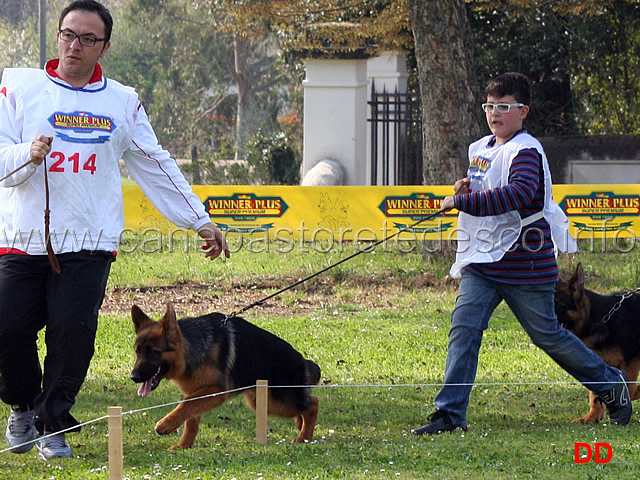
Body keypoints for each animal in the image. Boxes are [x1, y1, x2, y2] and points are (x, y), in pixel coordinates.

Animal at [131, 304, 320, 450]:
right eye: (138, 352)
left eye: (153, 352)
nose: (133, 377)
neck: (191, 349)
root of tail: (302, 360)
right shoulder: (197, 391)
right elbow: (190, 417)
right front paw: (183, 446)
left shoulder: (216, 390)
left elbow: (186, 403)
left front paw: (167, 424)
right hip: (262, 401)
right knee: (306, 404)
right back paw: (301, 426)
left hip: (276, 401)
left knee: (313, 403)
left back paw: (304, 437)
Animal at [556, 262, 640, 424]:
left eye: (558, 306)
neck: (600, 320)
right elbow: (595, 394)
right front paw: (592, 416)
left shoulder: (631, 360)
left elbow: (631, 390)